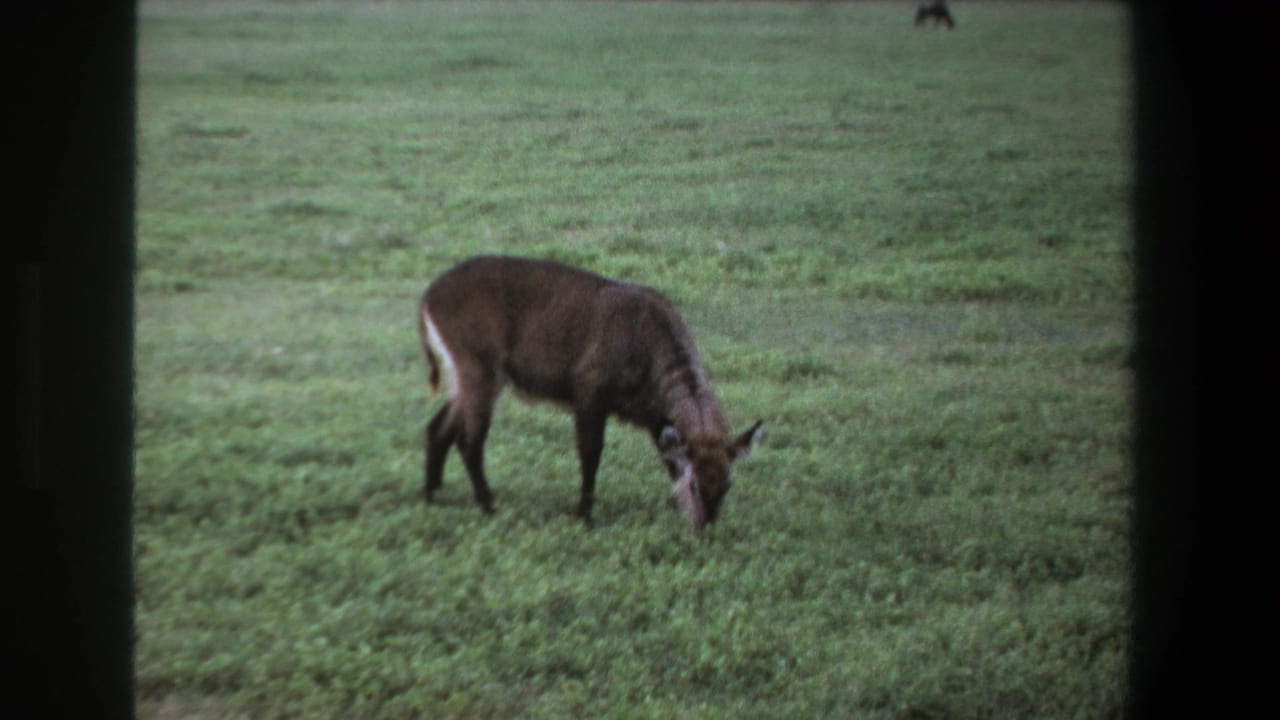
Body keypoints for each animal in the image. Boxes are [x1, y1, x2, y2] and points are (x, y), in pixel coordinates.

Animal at [417, 255, 762, 531]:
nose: (706, 526)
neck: (647, 344)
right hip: (480, 370)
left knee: (438, 426)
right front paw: (585, 515)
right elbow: (591, 453)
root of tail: (428, 297)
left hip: (467, 376)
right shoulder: (589, 397)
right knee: (469, 440)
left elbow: (668, 458)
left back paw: (432, 493)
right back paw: (488, 505)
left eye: (727, 484)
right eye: (695, 486)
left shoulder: (656, 419)